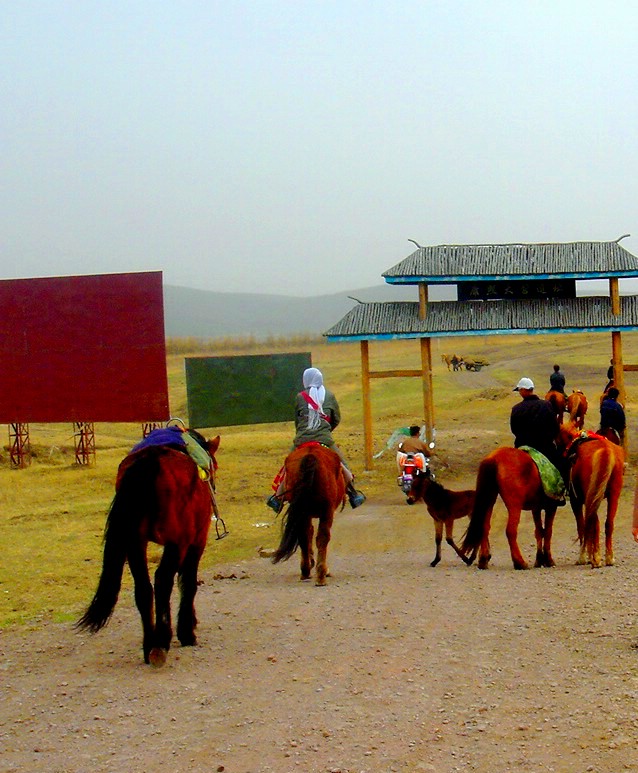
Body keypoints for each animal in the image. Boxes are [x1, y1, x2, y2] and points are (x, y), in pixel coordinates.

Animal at [76, 434, 221, 664]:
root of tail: (150, 460)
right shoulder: (196, 541)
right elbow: (188, 583)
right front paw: (187, 631)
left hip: (136, 543)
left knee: (143, 588)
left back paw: (149, 645)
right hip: (177, 541)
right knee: (162, 580)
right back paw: (161, 641)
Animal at [272, 444, 348, 584]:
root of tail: (310, 456)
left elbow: (307, 534)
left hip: (303, 511)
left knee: (304, 536)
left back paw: (306, 571)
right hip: (327, 510)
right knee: (322, 537)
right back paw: (321, 574)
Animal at [560, 422, 624, 568]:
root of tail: (605, 450)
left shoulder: (576, 501)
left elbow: (582, 525)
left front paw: (584, 557)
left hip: (592, 495)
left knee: (593, 523)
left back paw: (595, 558)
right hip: (612, 494)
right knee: (608, 523)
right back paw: (608, 558)